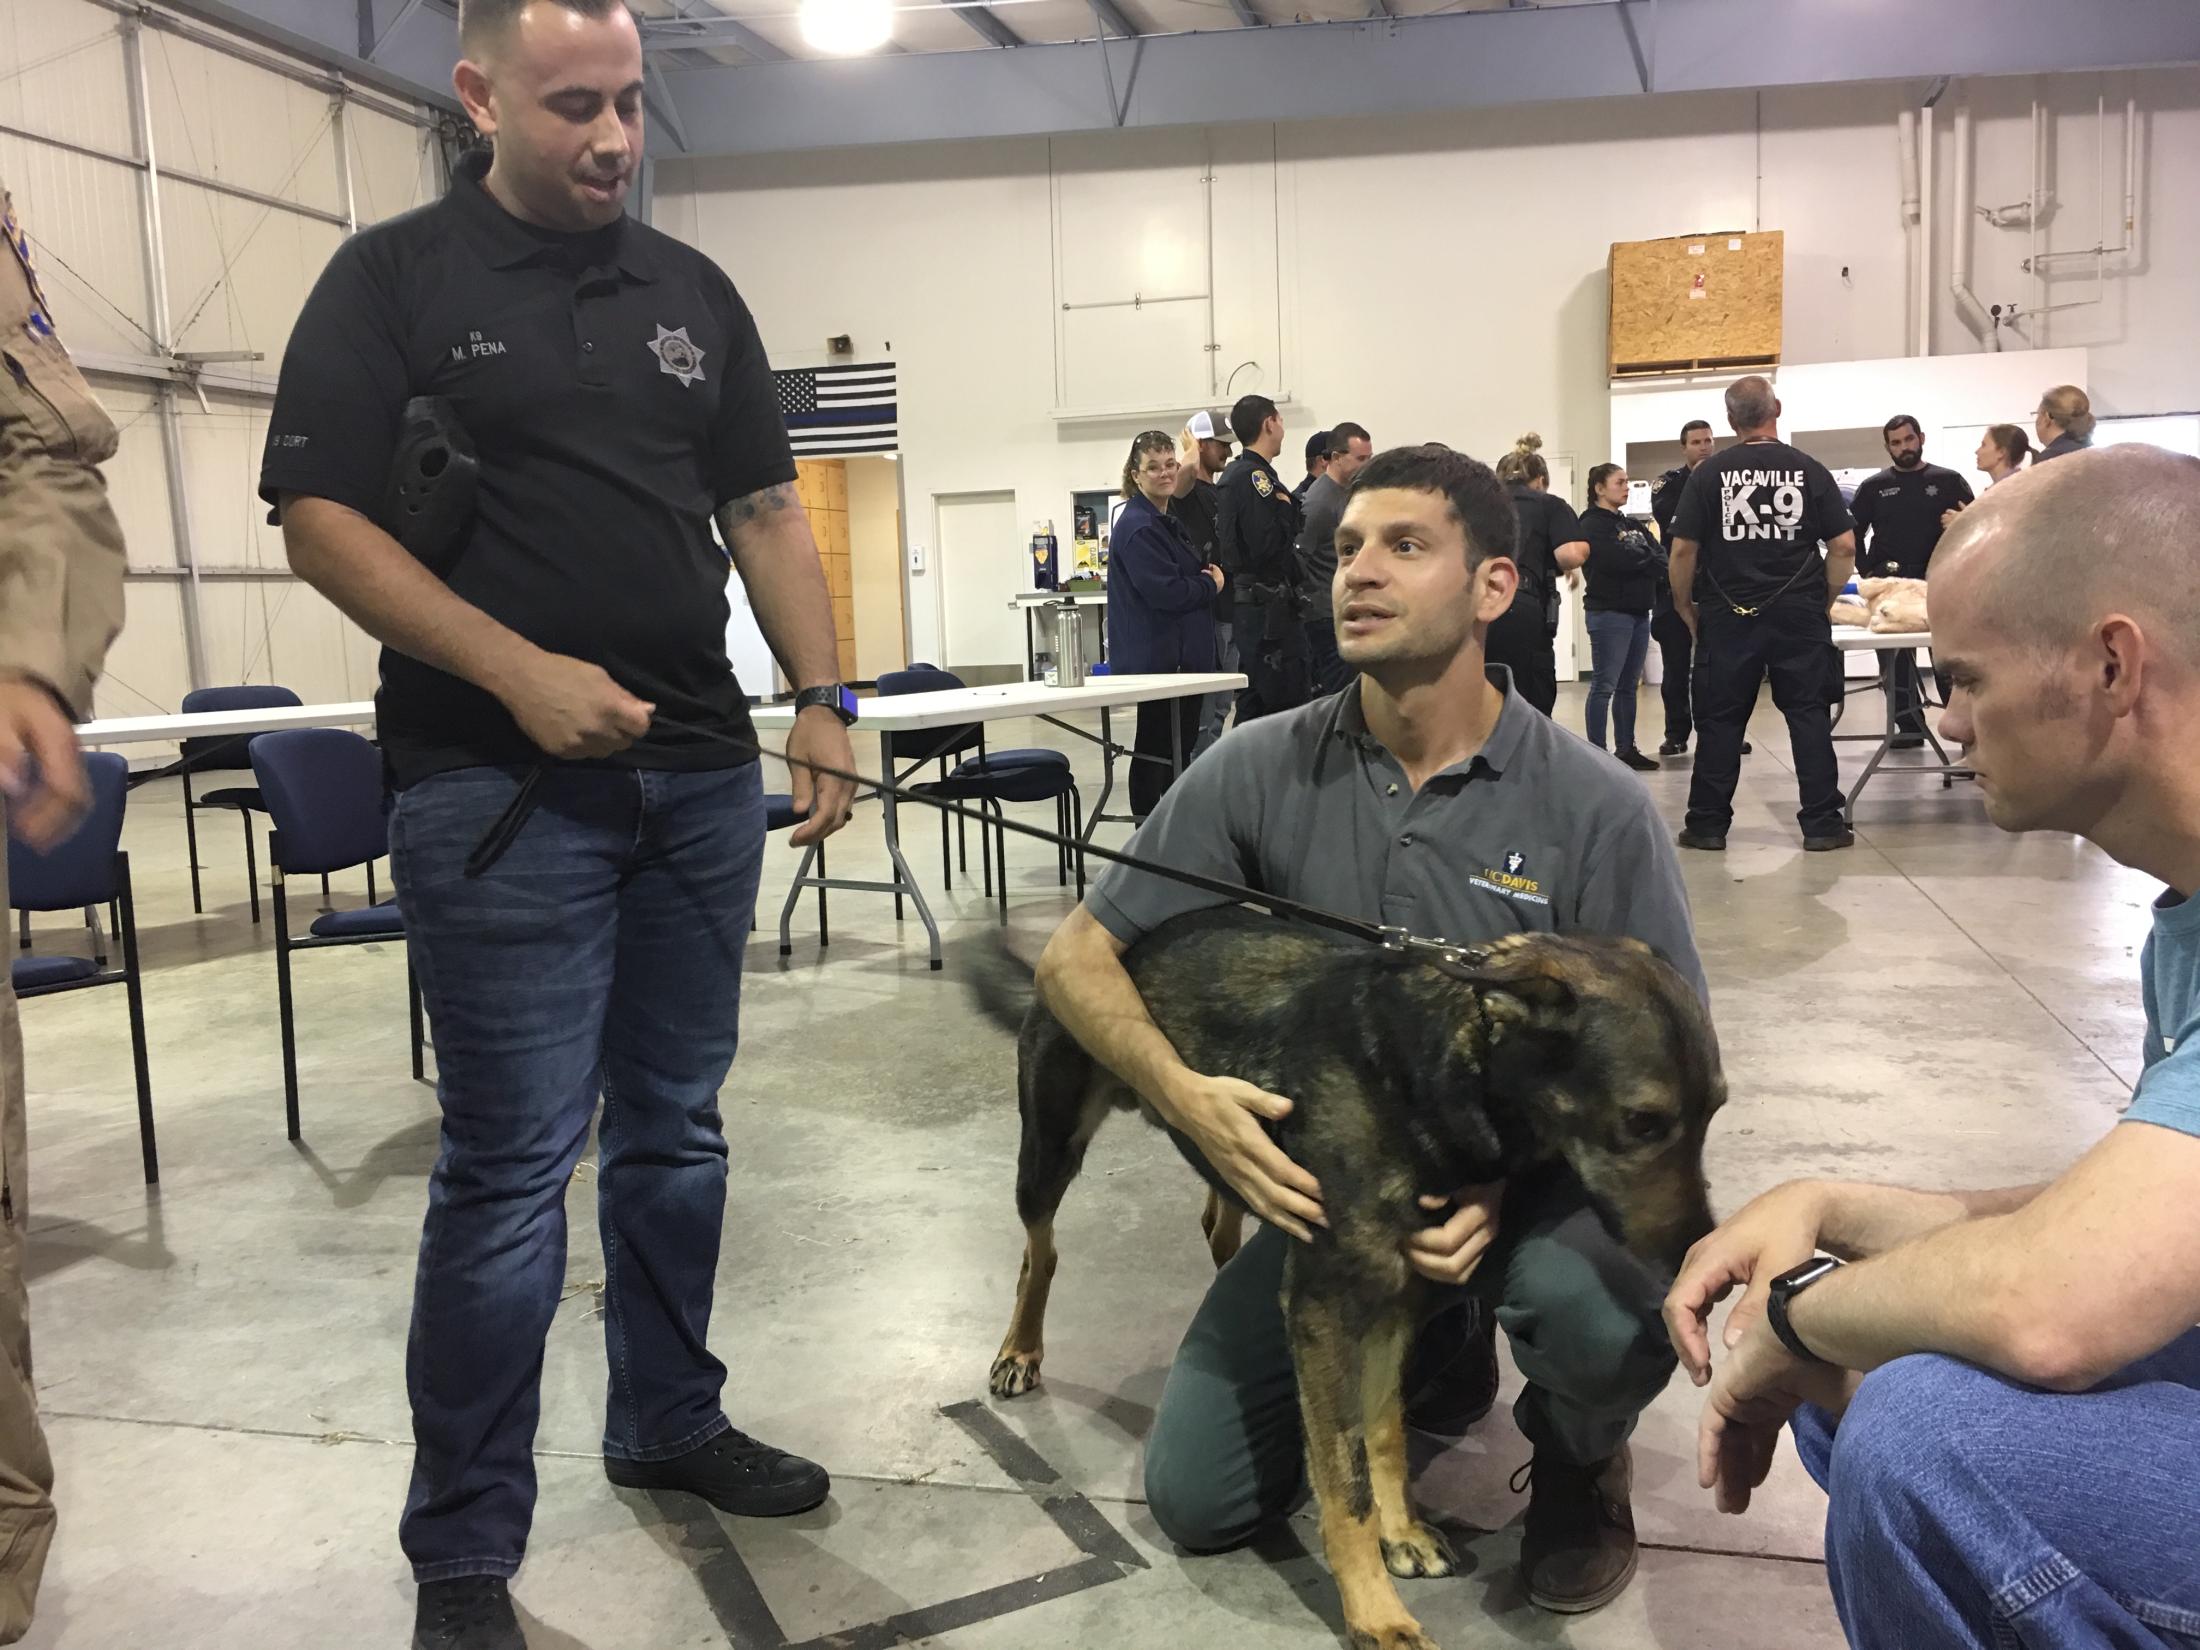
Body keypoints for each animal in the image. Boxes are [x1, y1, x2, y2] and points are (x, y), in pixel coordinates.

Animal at [990, 910, 1724, 1650]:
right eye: (1642, 1122)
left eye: (1716, 1109)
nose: (1700, 1260)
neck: (1422, 1076)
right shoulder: (1328, 1308)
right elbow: (1345, 1484)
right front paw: (1375, 1612)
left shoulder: (1395, 1301)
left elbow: (1385, 1432)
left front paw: (1400, 1534)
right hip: (1048, 1149)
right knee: (1039, 1253)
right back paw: (1019, 1351)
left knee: (1215, 1217)